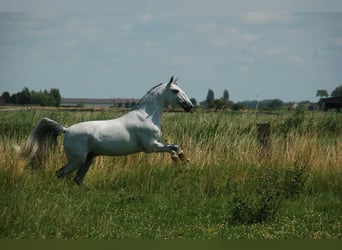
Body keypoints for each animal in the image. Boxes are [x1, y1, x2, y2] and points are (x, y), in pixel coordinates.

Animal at [18, 77, 192, 187]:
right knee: (61, 173)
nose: (189, 106)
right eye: (175, 91)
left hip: (88, 159)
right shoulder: (151, 146)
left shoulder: (155, 144)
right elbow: (173, 147)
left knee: (78, 179)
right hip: (77, 160)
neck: (145, 116)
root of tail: (66, 130)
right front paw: (178, 160)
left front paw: (184, 160)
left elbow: (175, 146)